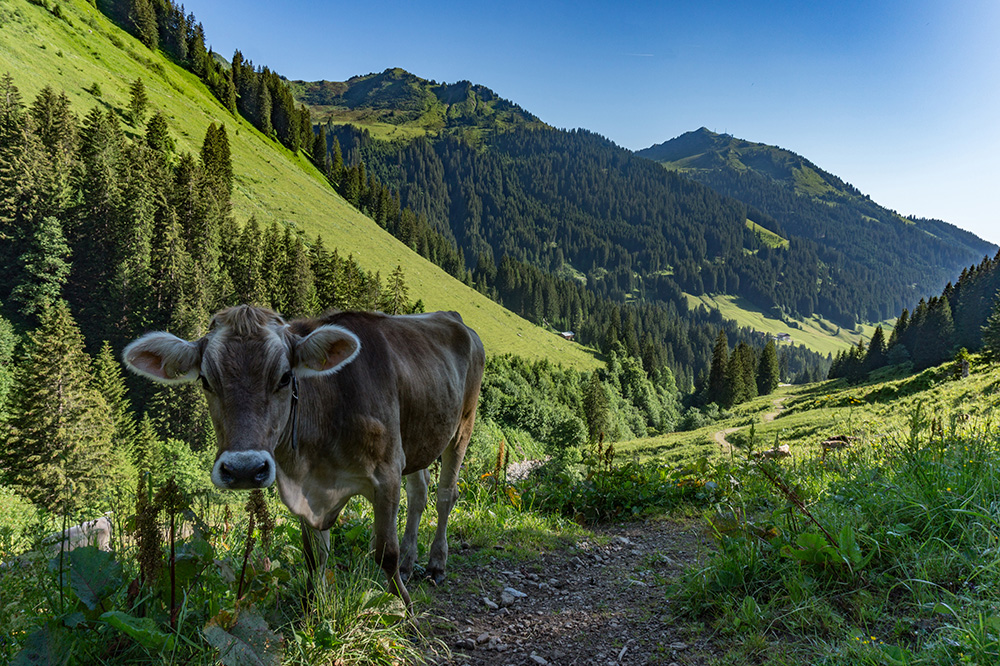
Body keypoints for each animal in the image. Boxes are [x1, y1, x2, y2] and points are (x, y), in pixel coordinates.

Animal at [125, 304, 484, 604]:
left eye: (285, 377)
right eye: (205, 380)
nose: (244, 469)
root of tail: (452, 316)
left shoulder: (386, 473)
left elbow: (385, 552)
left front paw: (404, 608)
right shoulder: (302, 487)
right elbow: (315, 556)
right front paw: (315, 607)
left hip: (462, 424)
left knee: (445, 495)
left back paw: (436, 564)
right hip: (417, 437)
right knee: (419, 493)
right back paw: (411, 563)